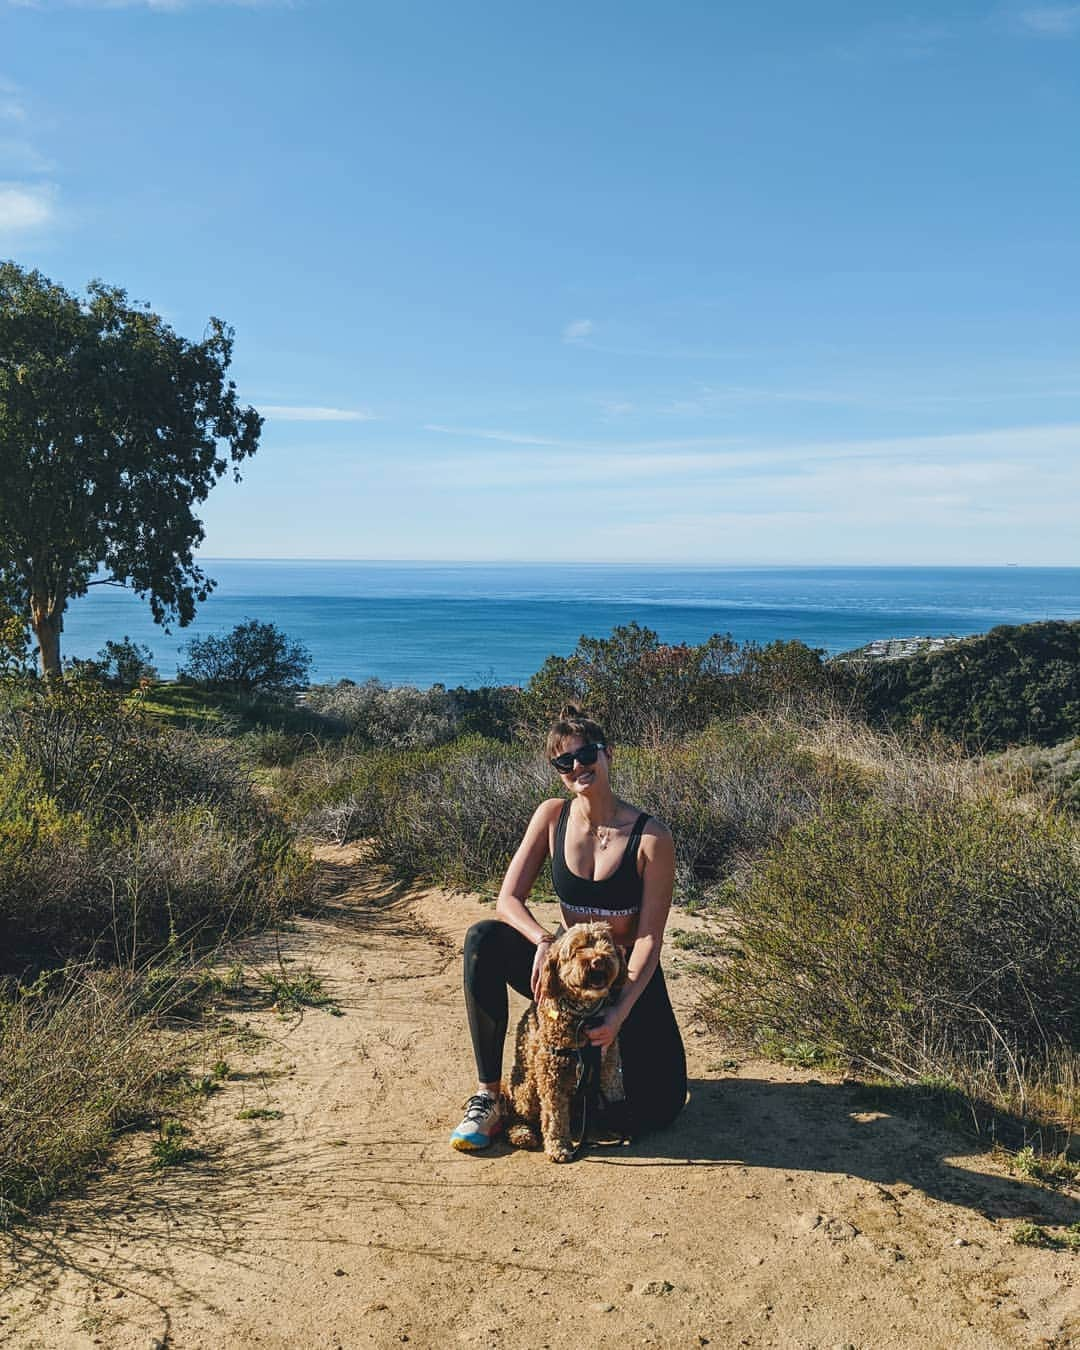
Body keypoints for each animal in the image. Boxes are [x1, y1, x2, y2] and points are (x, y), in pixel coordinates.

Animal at [507, 923, 629, 1166]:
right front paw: (558, 1146)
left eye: (605, 942)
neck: (584, 1017)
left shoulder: (609, 1061)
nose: (598, 960)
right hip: (527, 1088)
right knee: (520, 1115)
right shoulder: (550, 1073)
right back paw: (522, 1133)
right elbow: (553, 1115)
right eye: (577, 948)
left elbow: (613, 1092)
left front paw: (616, 1122)